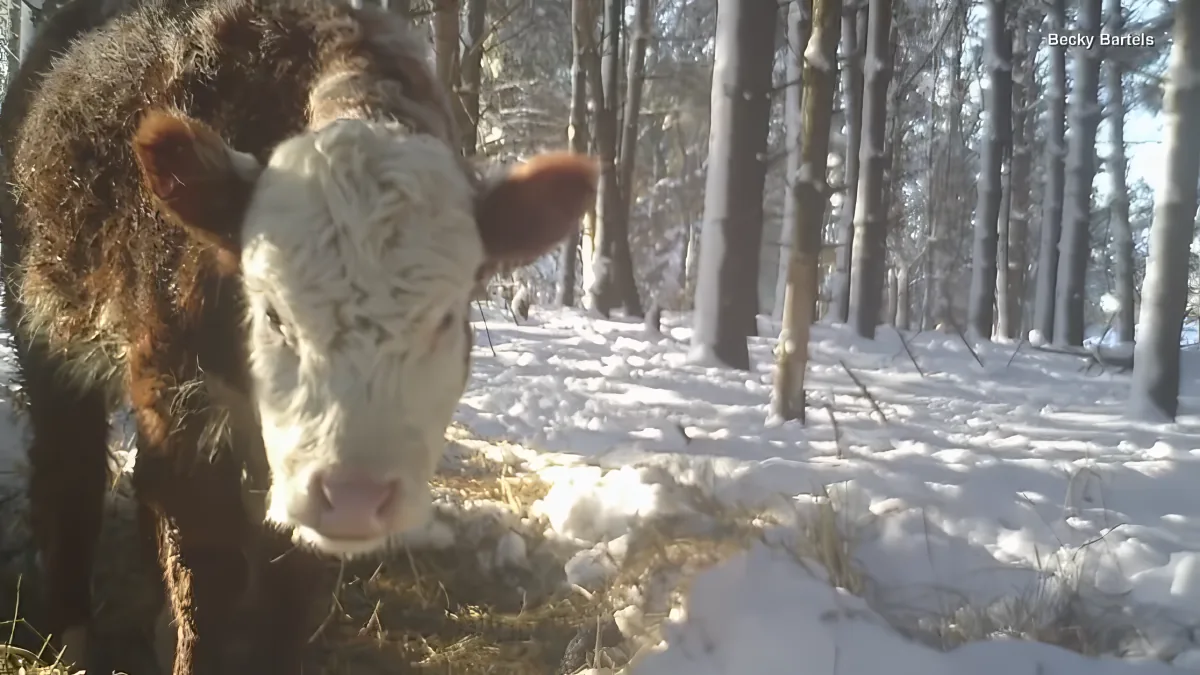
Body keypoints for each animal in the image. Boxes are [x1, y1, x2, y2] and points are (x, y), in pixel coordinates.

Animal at [0, 0, 597, 672]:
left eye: (446, 316)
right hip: (43, 323)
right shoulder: (173, 385)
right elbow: (206, 565)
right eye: (272, 313)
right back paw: (70, 633)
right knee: (71, 470)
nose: (357, 495)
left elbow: (292, 578)